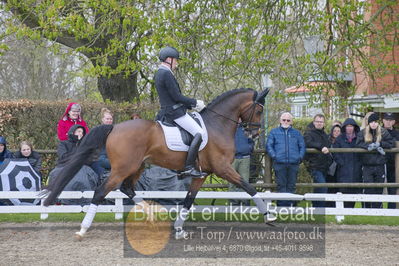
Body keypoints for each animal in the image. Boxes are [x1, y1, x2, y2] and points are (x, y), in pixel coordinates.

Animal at [43, 87, 276, 239]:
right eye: (259, 111)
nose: (254, 134)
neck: (217, 125)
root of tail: (114, 127)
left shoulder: (202, 174)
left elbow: (188, 200)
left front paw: (179, 229)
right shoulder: (223, 168)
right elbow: (248, 187)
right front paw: (269, 215)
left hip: (136, 166)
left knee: (127, 188)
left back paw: (153, 216)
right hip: (123, 168)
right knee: (102, 191)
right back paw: (83, 228)